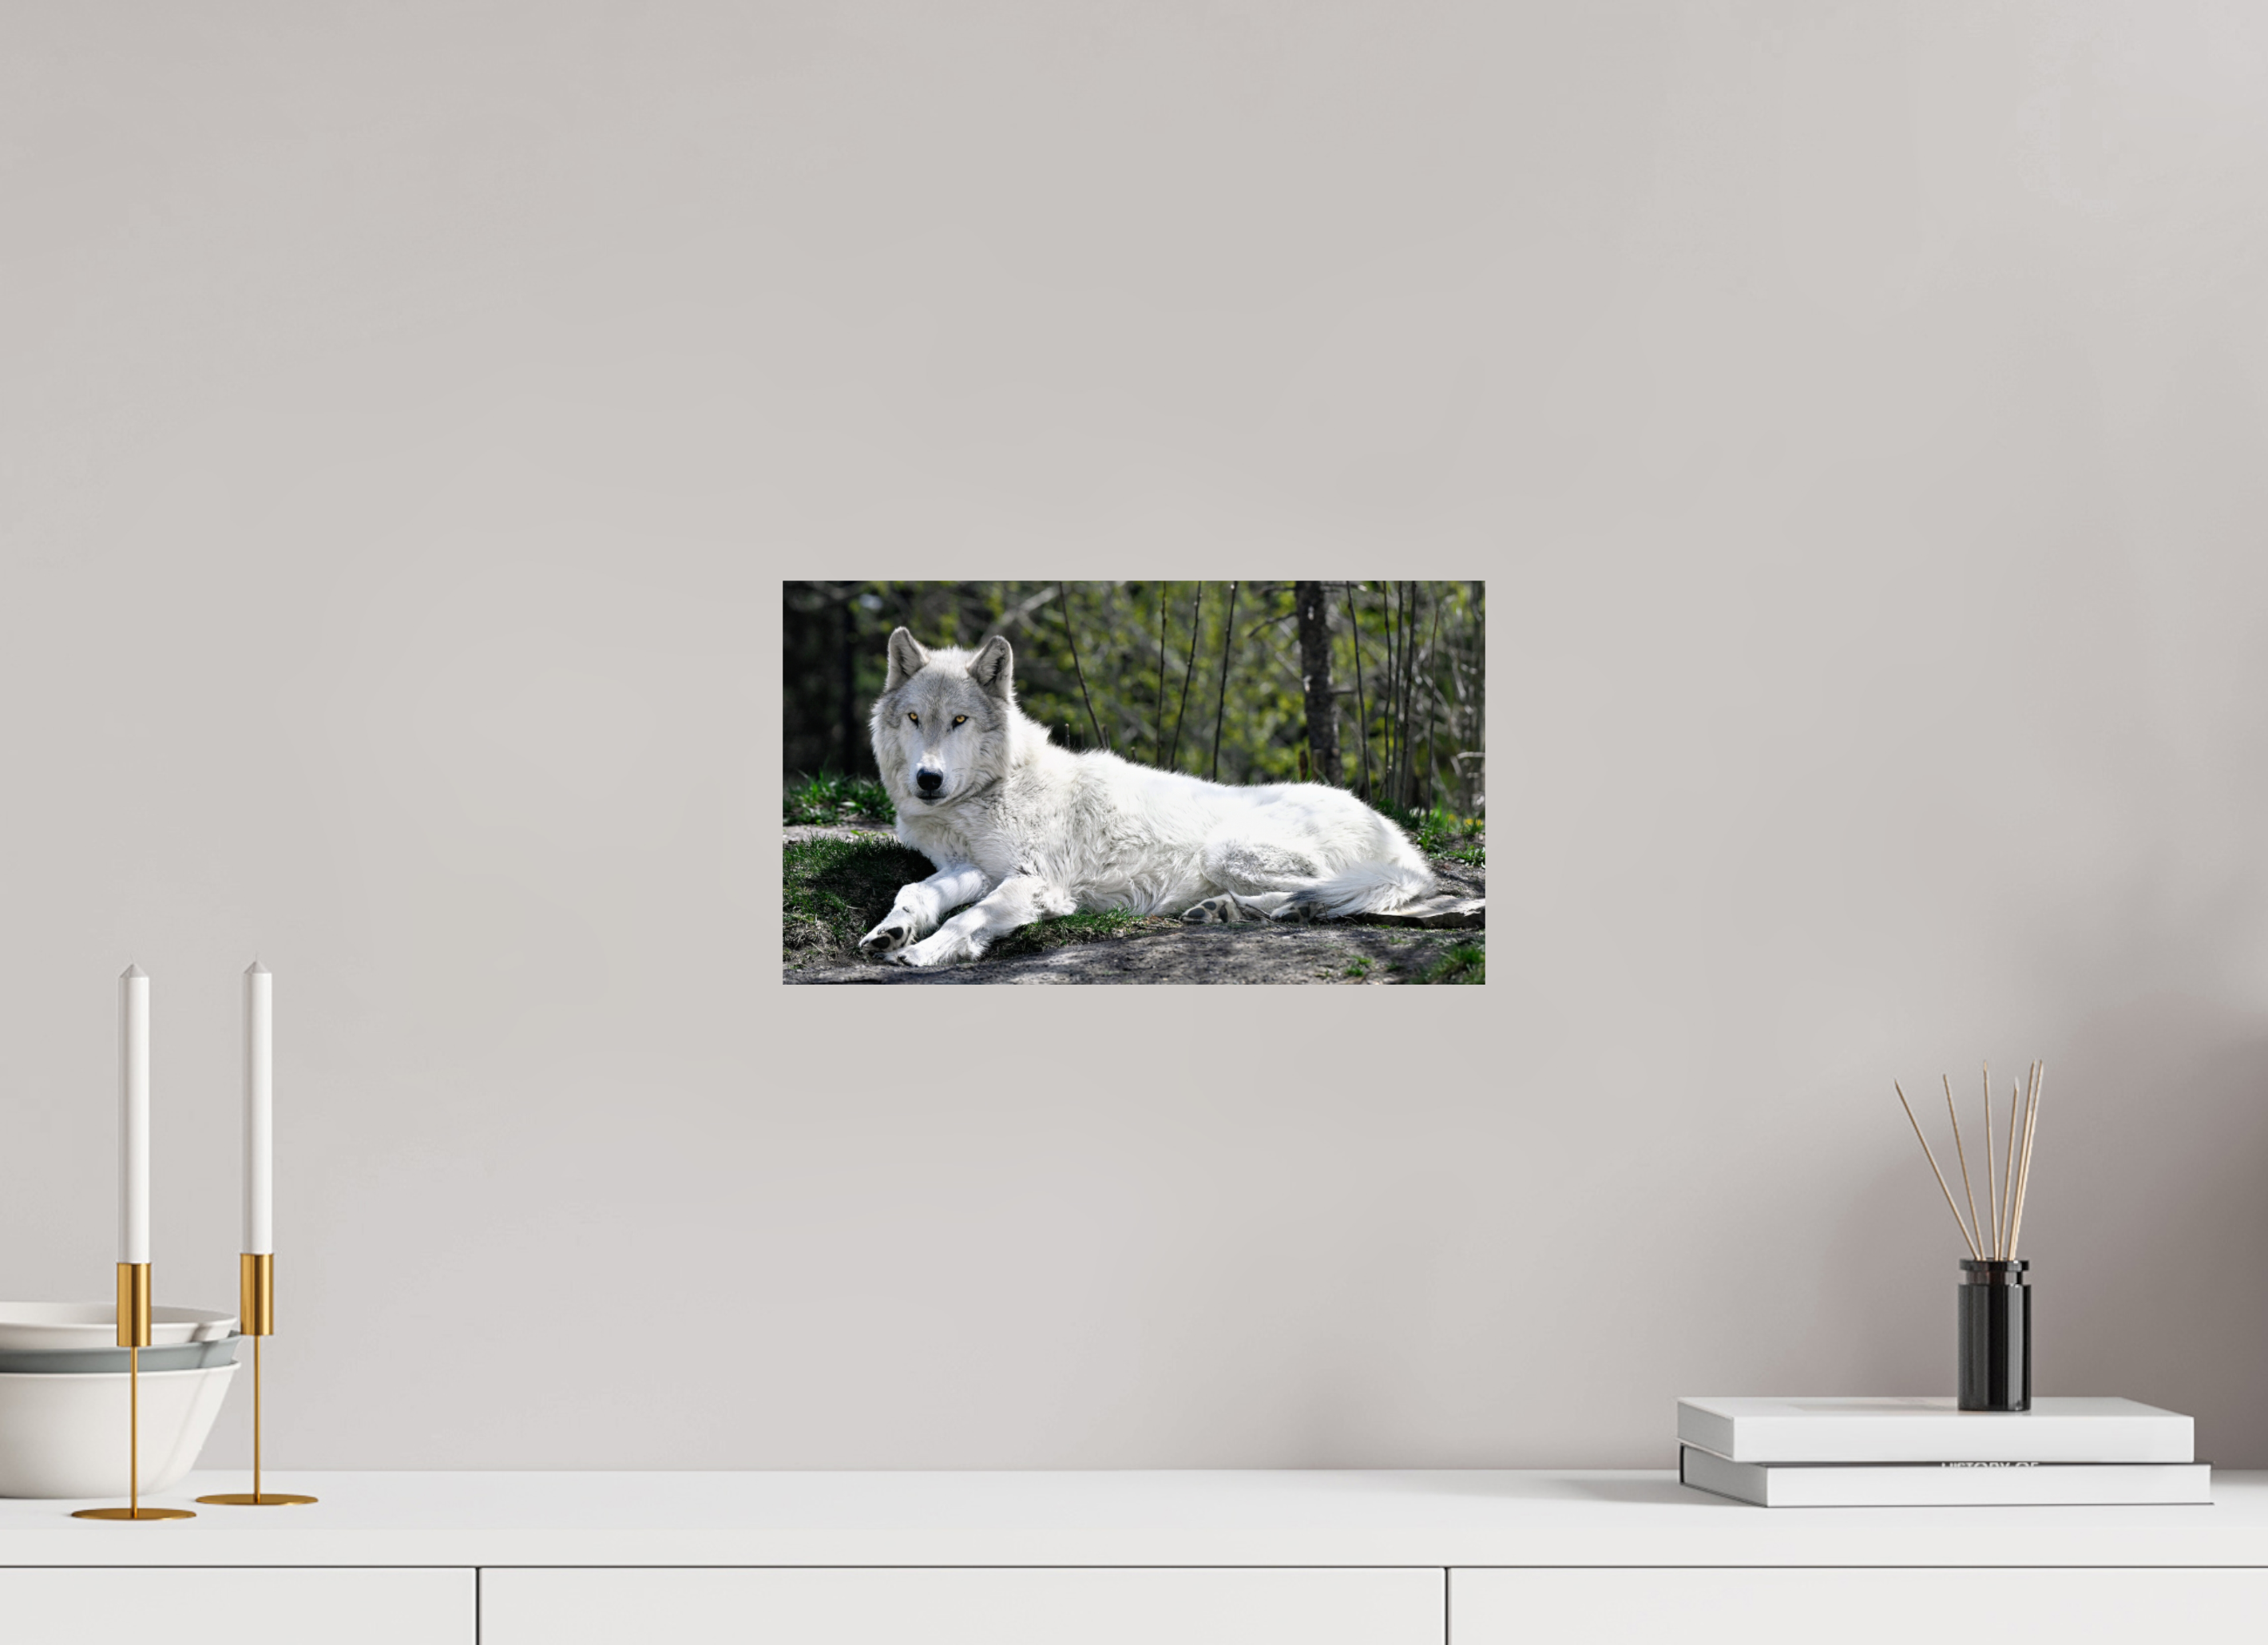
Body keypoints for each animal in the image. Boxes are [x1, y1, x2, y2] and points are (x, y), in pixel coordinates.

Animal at [857, 627, 1441, 967]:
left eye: (960, 720)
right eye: (915, 718)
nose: (928, 780)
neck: (991, 792)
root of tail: (1400, 839)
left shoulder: (1037, 883)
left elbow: (966, 918)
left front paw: (926, 950)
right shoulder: (973, 867)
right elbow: (916, 890)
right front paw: (891, 930)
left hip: (1228, 851)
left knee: (1336, 892)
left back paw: (1253, 909)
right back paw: (1224, 911)